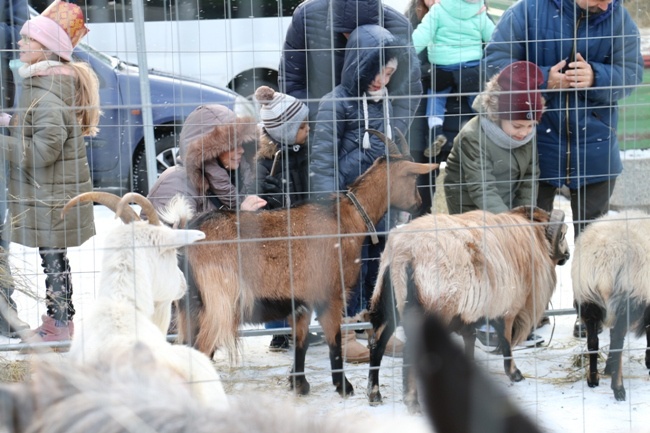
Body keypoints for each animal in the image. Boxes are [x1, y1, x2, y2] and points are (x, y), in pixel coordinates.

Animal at [176, 130, 436, 396]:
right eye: (414, 178)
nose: (418, 204)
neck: (347, 217)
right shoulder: (331, 294)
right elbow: (334, 340)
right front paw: (344, 386)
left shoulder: (302, 301)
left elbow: (301, 343)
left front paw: (299, 383)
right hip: (219, 306)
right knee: (202, 349)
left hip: (189, 308)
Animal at [364, 204, 568, 410]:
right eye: (563, 234)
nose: (567, 255)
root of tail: (404, 254)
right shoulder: (507, 309)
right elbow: (506, 341)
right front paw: (514, 373)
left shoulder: (468, 314)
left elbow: (470, 338)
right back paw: (412, 402)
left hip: (388, 304)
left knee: (377, 343)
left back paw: (374, 394)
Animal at [568, 208, 648, 398]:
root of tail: (605, 259)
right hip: (629, 297)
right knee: (617, 338)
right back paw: (618, 388)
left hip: (588, 299)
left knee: (593, 341)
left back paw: (593, 379)